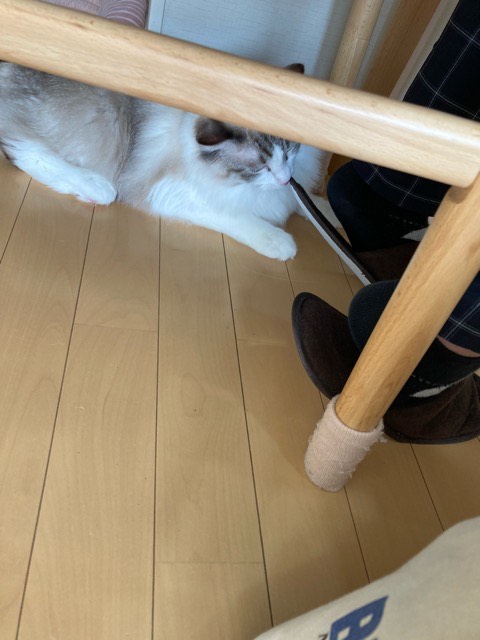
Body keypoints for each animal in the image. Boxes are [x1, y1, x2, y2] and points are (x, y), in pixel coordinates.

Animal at [0, 62, 321, 260]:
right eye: (260, 166)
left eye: (289, 151)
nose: (285, 178)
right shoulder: (171, 192)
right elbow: (240, 218)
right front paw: (281, 243)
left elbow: (313, 207)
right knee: (20, 147)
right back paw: (95, 188)